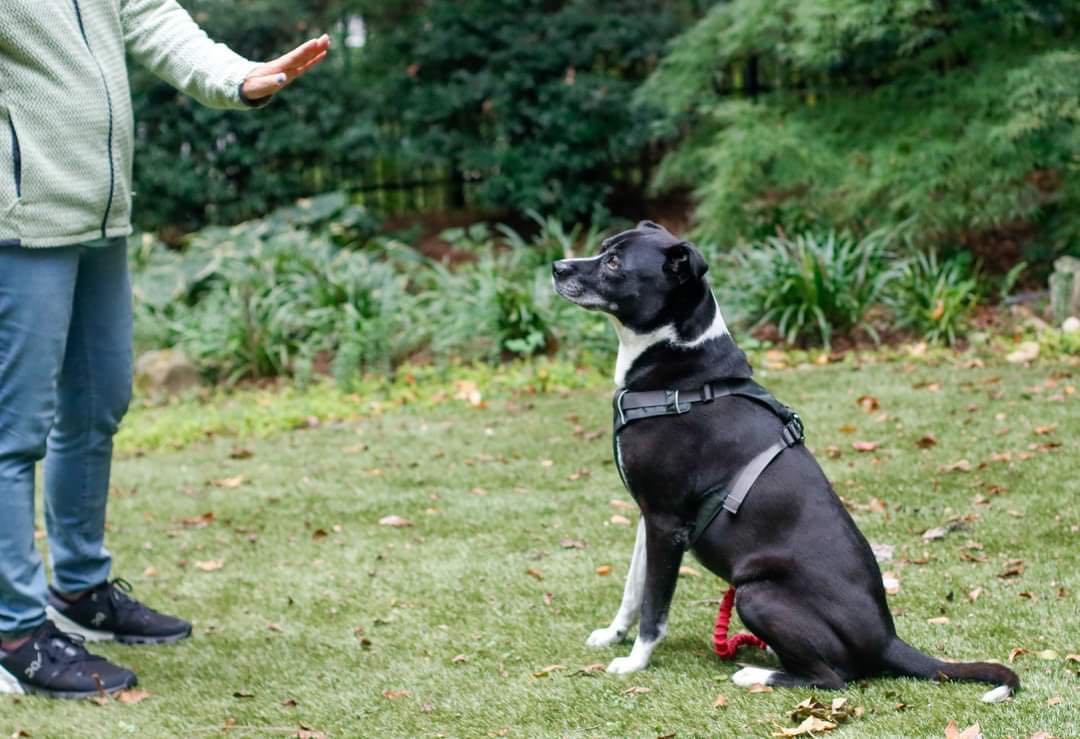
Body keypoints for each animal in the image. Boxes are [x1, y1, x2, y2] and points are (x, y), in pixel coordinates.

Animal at [552, 220, 1015, 704]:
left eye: (614, 263)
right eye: (604, 248)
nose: (556, 267)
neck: (682, 371)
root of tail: (887, 640)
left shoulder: (665, 521)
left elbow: (654, 608)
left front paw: (635, 662)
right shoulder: (649, 516)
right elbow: (634, 587)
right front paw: (612, 635)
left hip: (756, 594)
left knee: (834, 678)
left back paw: (757, 673)